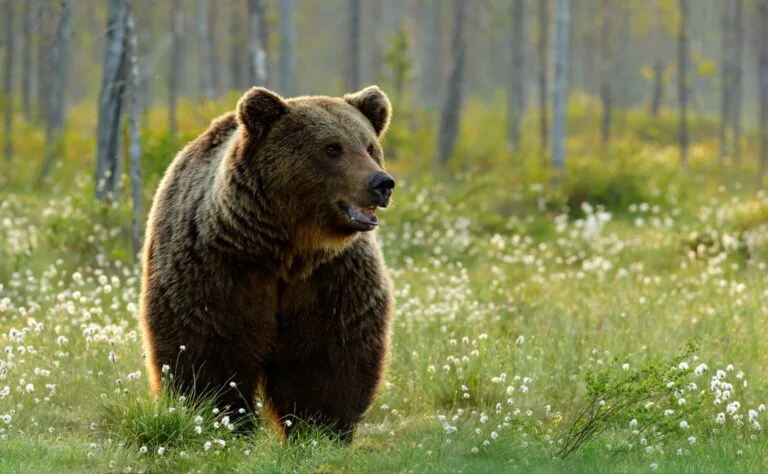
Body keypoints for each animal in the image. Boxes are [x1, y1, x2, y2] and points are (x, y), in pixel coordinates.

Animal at [140, 84, 396, 440]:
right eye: (332, 148)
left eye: (370, 146)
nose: (381, 183)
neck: (286, 253)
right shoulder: (216, 274)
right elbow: (207, 353)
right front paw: (225, 422)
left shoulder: (332, 278)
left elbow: (326, 359)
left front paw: (319, 428)